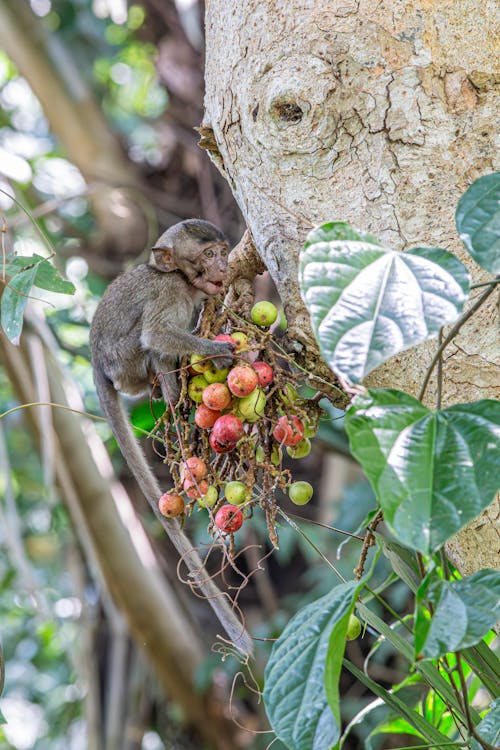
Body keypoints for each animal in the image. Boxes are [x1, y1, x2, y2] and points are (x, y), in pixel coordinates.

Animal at [89, 220, 254, 656]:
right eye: (207, 254)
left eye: (222, 252)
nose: (222, 267)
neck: (178, 276)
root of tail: (96, 363)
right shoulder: (171, 293)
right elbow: (157, 334)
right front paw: (215, 350)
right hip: (125, 363)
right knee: (152, 347)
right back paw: (175, 395)